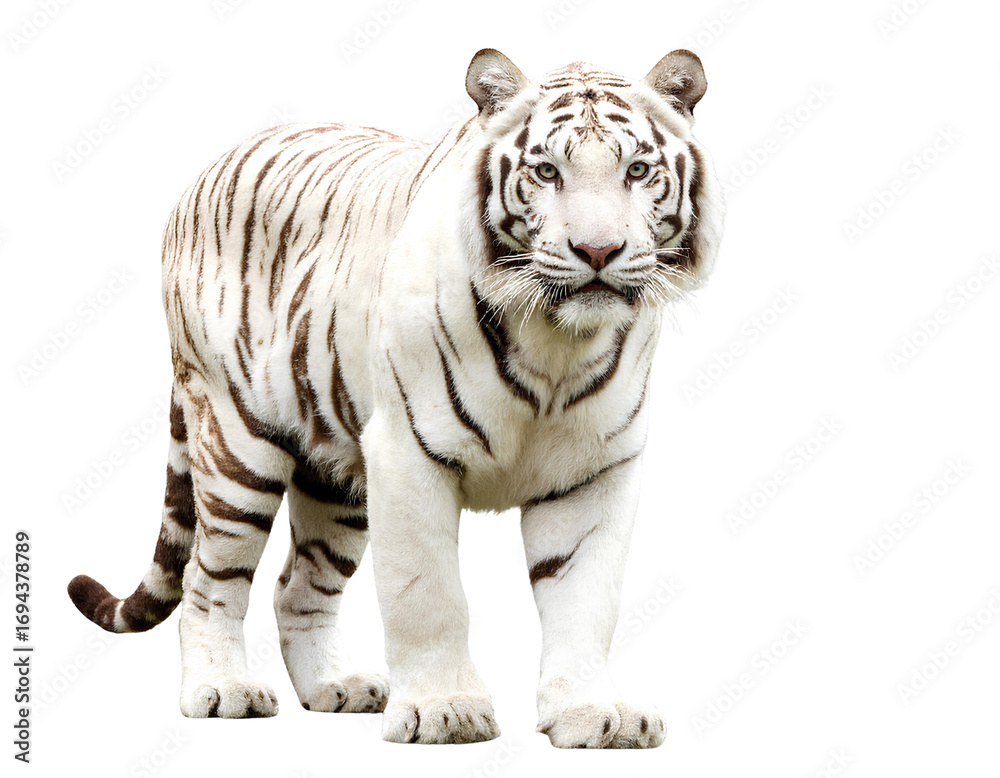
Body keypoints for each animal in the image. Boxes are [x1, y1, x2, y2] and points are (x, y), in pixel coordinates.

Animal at [68, 48, 723, 748]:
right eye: (547, 170)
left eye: (637, 171)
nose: (598, 250)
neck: (556, 343)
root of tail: (209, 168)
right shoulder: (408, 454)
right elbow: (427, 595)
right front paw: (445, 710)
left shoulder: (595, 472)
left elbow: (585, 602)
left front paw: (591, 713)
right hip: (235, 444)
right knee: (207, 577)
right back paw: (222, 691)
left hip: (335, 476)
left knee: (297, 586)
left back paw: (335, 687)